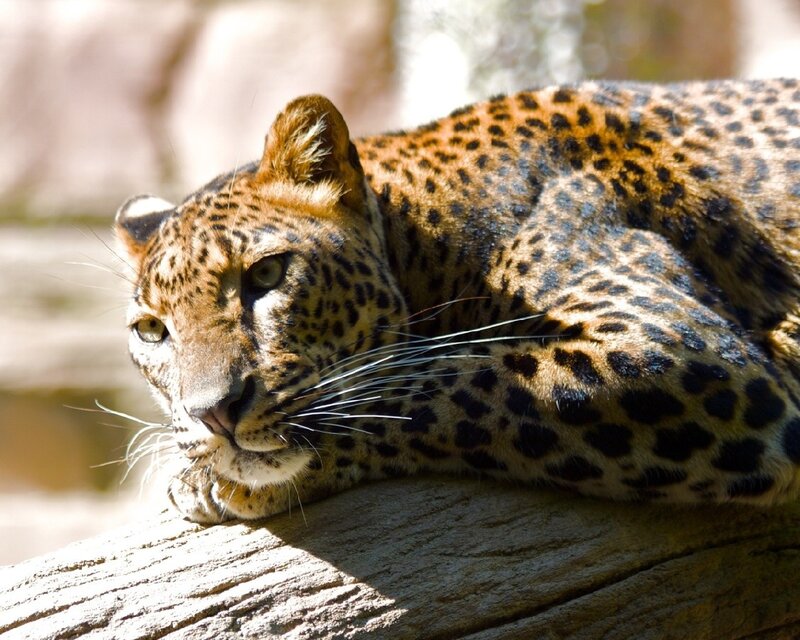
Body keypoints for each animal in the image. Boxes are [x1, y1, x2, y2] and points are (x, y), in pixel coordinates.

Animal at [115, 79, 800, 524]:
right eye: (152, 332)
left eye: (266, 274)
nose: (214, 414)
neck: (427, 233)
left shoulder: (678, 348)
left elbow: (451, 381)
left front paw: (212, 480)